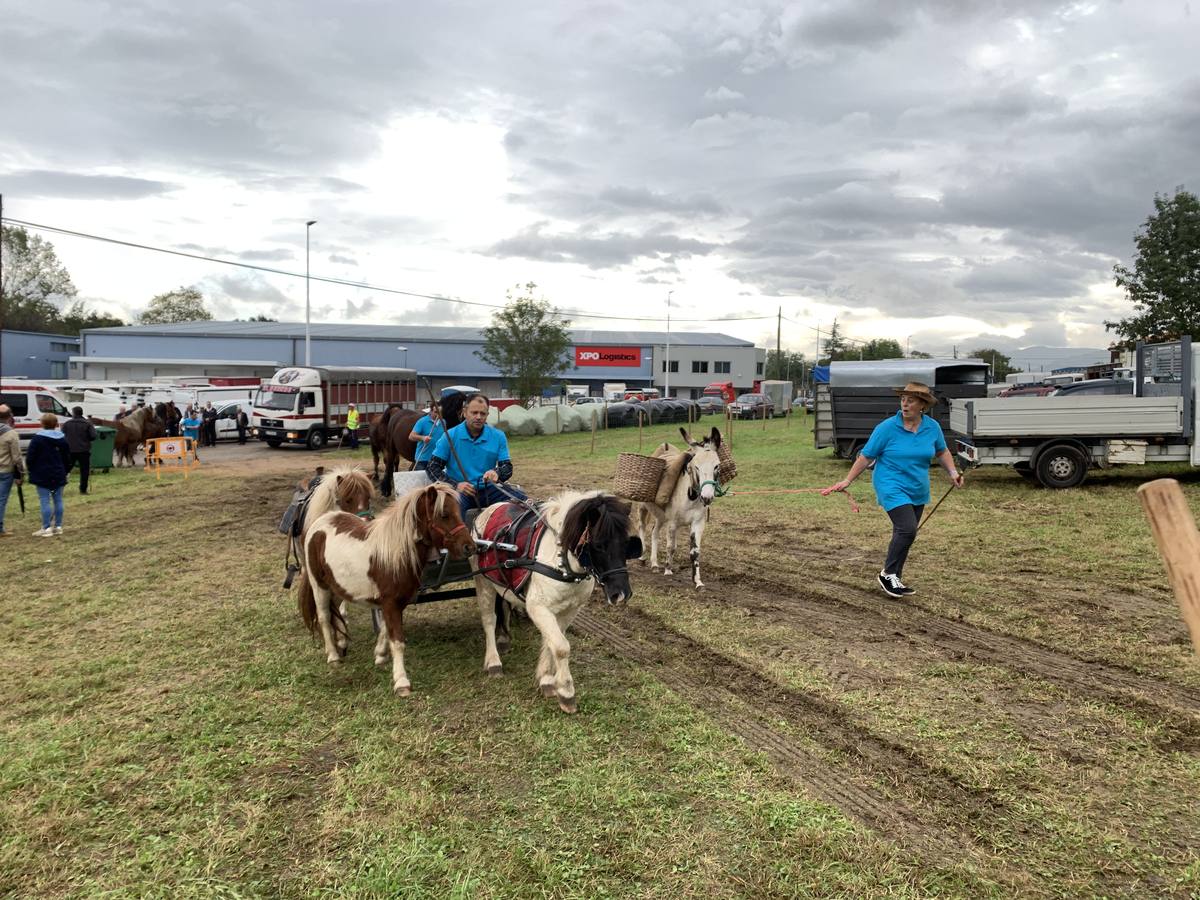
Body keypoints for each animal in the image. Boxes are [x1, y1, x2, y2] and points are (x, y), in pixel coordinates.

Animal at [295, 480, 472, 696]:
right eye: (444, 515)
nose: (470, 547)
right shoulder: (390, 603)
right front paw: (401, 682)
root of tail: (321, 521)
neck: (395, 552)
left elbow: (386, 630)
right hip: (319, 586)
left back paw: (342, 643)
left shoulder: (397, 603)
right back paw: (333, 656)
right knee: (324, 617)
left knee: (336, 611)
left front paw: (379, 655)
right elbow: (397, 641)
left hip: (336, 586)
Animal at [468, 489, 643, 715]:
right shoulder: (538, 608)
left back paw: (504, 638)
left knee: (504, 607)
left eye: (626, 545)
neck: (561, 560)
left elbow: (551, 641)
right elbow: (561, 646)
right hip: (483, 582)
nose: (621, 594)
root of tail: (489, 508)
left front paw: (547, 680)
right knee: (489, 619)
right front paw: (566, 691)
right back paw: (493, 661)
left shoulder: (570, 609)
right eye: (598, 545)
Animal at [638, 429, 720, 592]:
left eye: (717, 466)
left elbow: (695, 552)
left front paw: (698, 582)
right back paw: (643, 557)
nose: (707, 497)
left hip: (661, 516)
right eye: (696, 466)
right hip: (644, 507)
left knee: (654, 532)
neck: (690, 497)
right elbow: (671, 547)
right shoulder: (673, 523)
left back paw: (654, 564)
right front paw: (668, 570)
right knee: (642, 527)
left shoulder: (698, 523)